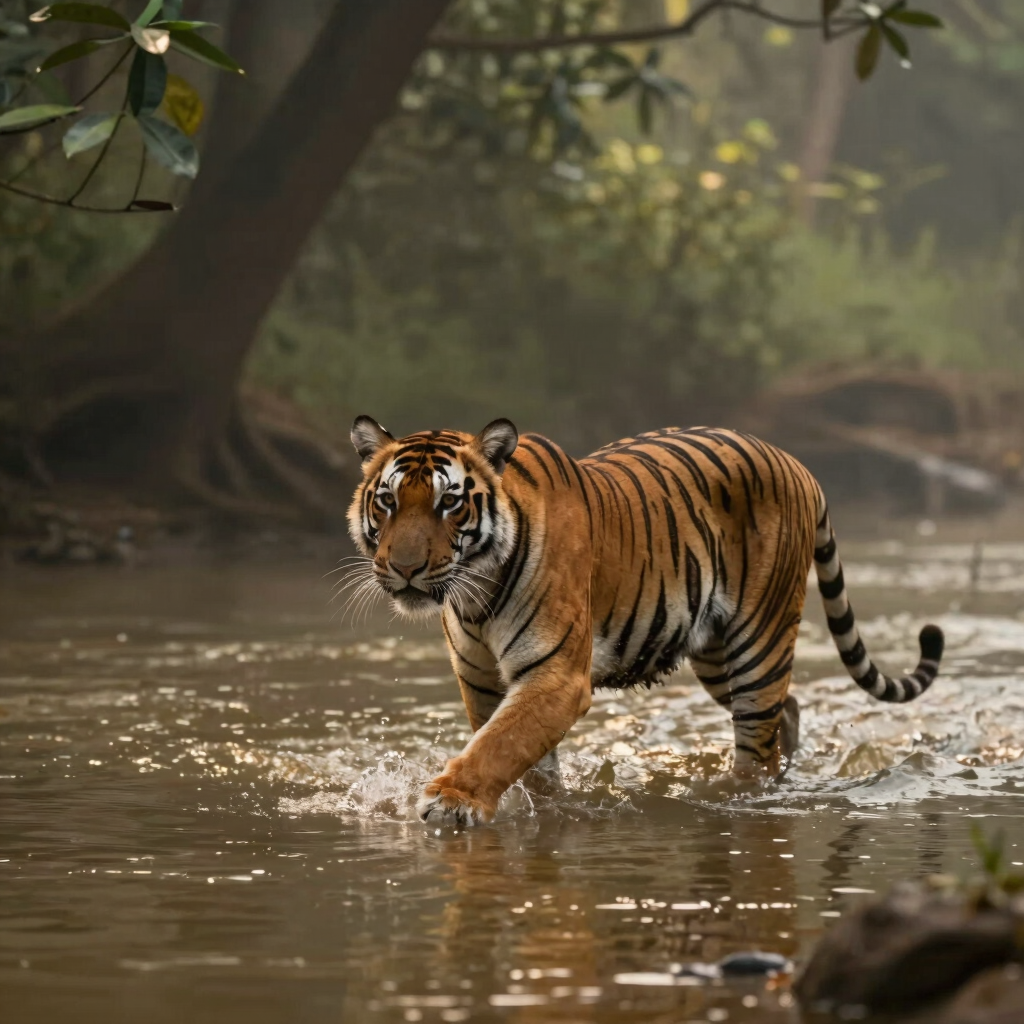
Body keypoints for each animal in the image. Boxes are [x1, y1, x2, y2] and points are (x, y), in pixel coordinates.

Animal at [346, 416, 944, 825]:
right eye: (388, 502)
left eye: (449, 503)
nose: (404, 568)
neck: (477, 592)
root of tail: (800, 466)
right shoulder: (482, 680)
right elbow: (521, 753)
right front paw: (538, 806)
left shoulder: (556, 675)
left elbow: (502, 744)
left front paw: (450, 801)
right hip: (716, 656)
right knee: (787, 711)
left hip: (760, 643)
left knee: (758, 746)